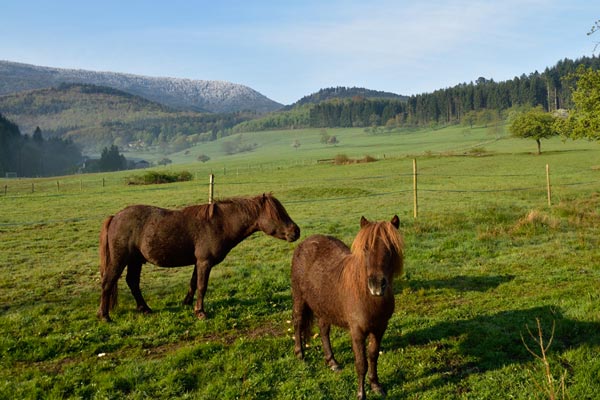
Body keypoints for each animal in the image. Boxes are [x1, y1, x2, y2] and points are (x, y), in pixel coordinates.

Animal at [97, 194, 300, 322]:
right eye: (277, 215)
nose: (296, 231)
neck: (218, 224)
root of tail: (115, 217)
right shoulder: (205, 262)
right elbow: (202, 286)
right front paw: (200, 312)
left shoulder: (198, 263)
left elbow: (193, 284)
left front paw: (187, 303)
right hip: (120, 260)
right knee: (108, 282)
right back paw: (104, 316)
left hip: (135, 261)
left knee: (132, 282)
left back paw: (145, 309)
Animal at [290, 216, 404, 400]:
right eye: (365, 248)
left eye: (391, 248)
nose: (376, 285)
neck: (368, 298)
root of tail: (304, 243)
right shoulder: (357, 331)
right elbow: (361, 363)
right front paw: (361, 394)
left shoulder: (380, 328)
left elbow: (373, 356)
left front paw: (376, 385)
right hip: (299, 299)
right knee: (298, 322)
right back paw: (300, 353)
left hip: (324, 307)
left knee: (324, 331)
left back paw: (332, 362)